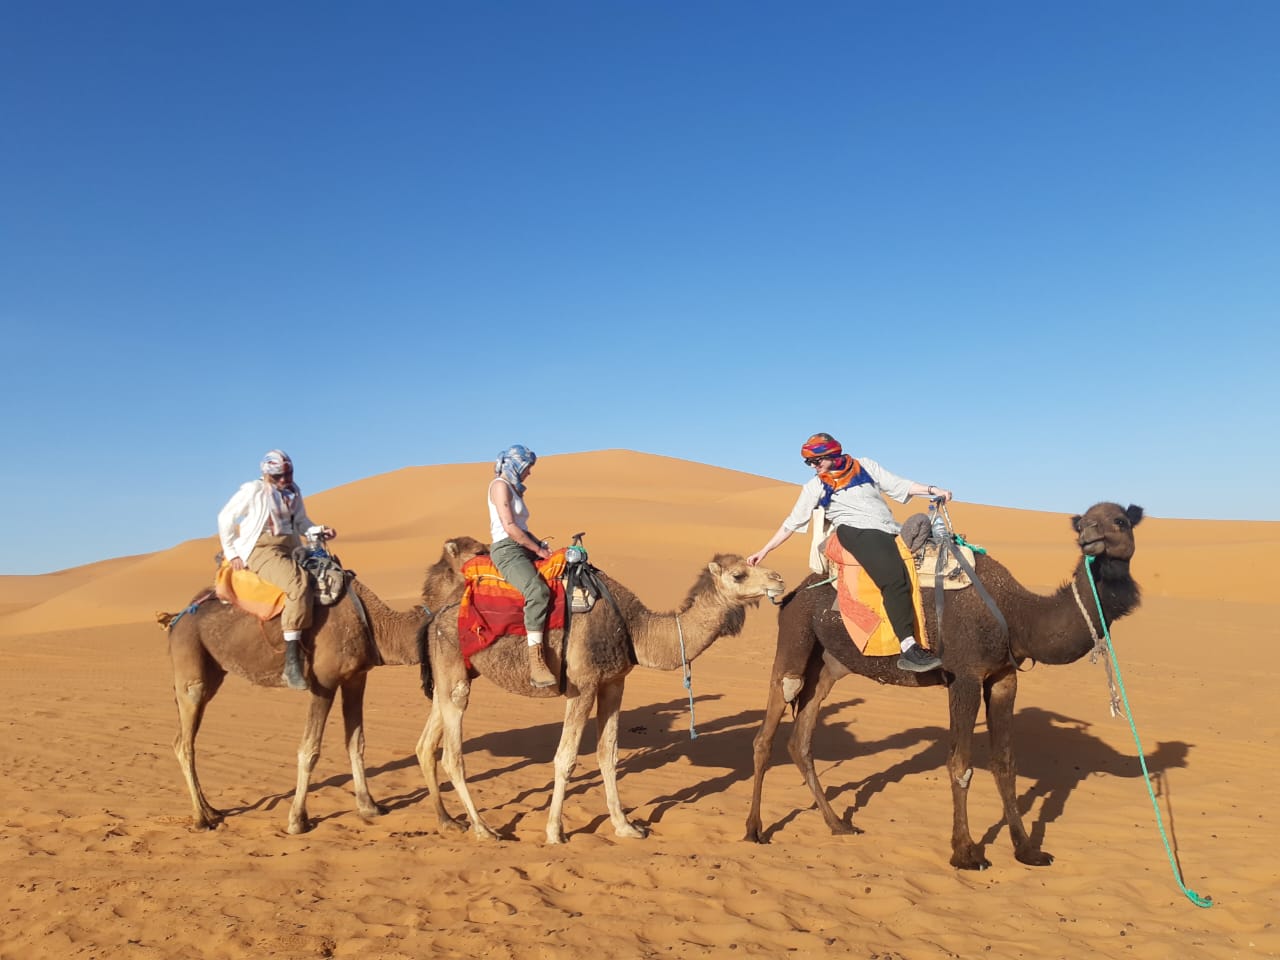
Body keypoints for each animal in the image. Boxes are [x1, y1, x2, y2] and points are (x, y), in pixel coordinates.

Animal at [154, 537, 483, 839]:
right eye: (479, 551)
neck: (375, 623)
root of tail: (175, 619)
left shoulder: (356, 678)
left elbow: (356, 742)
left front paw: (369, 806)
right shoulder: (323, 682)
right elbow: (309, 749)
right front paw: (297, 820)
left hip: (213, 672)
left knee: (183, 738)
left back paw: (211, 810)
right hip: (190, 667)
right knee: (184, 741)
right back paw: (201, 819)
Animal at [414, 555, 783, 839]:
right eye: (739, 574)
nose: (778, 579)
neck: (634, 629)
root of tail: (435, 616)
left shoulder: (614, 683)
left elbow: (609, 755)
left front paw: (626, 826)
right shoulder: (584, 685)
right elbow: (565, 759)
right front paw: (554, 832)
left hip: (455, 675)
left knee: (426, 744)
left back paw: (447, 821)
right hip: (454, 668)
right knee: (452, 756)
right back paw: (484, 828)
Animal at [747, 504, 1146, 870]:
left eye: (1119, 521)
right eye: (1083, 523)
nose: (1090, 537)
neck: (1016, 614)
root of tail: (792, 593)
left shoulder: (1004, 677)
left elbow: (1006, 763)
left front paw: (1028, 850)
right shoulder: (965, 675)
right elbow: (960, 763)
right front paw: (966, 853)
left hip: (829, 664)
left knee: (801, 740)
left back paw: (838, 825)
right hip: (795, 638)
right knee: (769, 729)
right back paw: (755, 830)